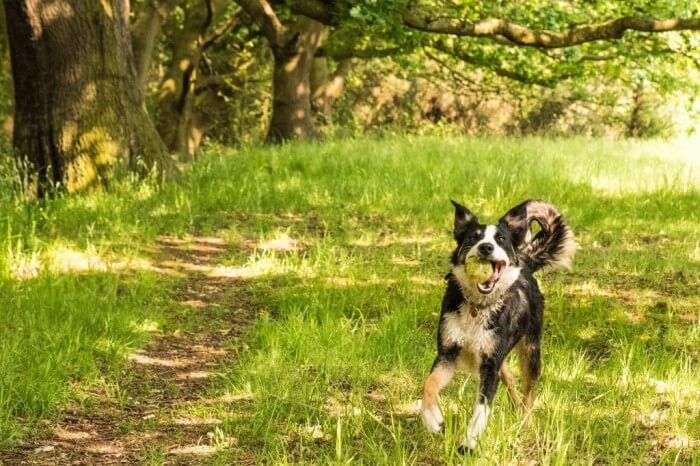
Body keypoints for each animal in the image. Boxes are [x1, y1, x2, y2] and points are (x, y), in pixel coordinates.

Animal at [422, 199, 576, 452]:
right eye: (473, 237)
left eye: (501, 239)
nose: (486, 247)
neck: (478, 305)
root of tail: (525, 261)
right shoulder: (448, 354)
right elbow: (429, 384)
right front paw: (431, 418)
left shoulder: (490, 365)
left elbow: (482, 408)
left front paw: (470, 442)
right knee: (511, 381)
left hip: (530, 351)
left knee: (529, 392)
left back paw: (526, 422)